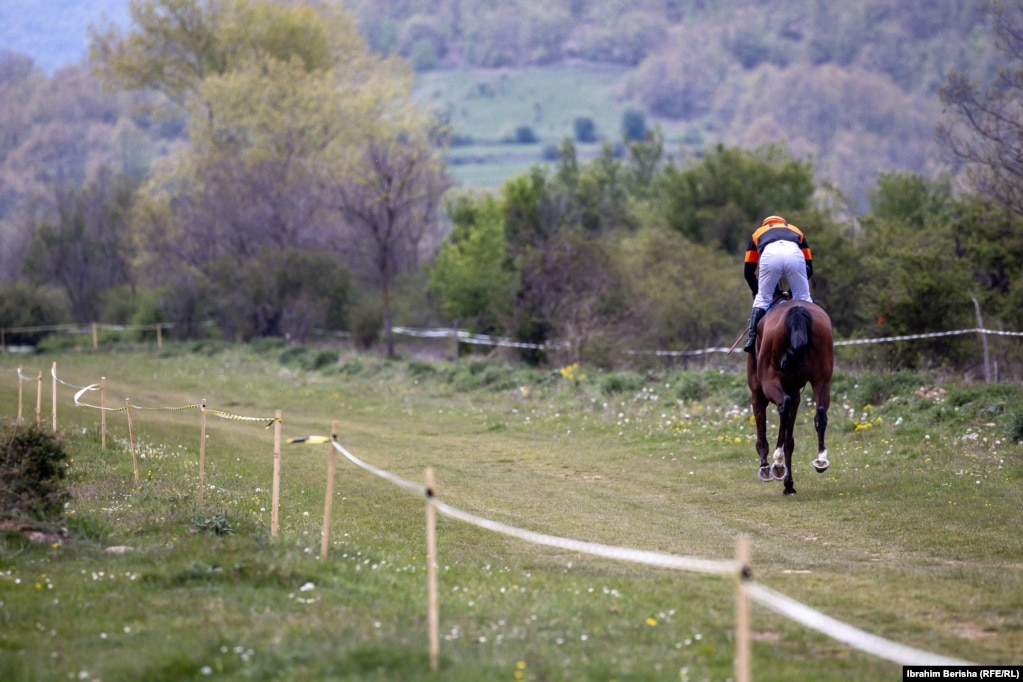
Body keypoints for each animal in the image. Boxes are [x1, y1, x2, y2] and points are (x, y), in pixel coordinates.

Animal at [748, 298, 834, 496]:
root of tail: (797, 311)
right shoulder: (796, 395)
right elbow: (790, 440)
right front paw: (789, 484)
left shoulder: (757, 394)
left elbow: (762, 435)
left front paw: (766, 468)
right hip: (822, 379)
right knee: (820, 412)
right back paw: (821, 459)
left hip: (768, 382)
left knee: (783, 405)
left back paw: (777, 463)